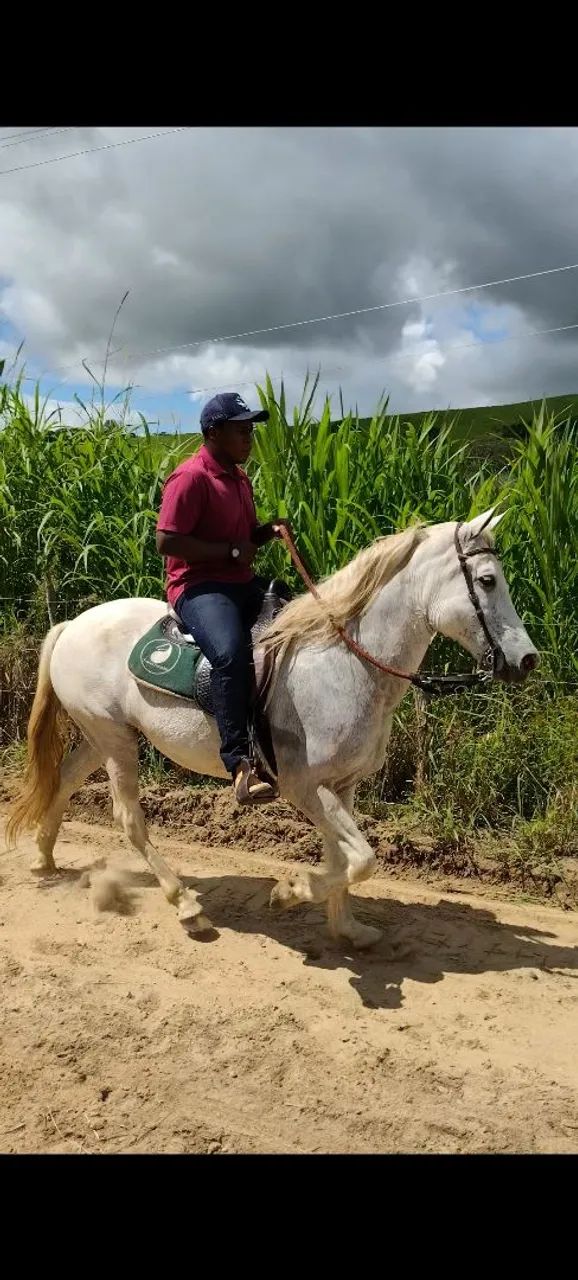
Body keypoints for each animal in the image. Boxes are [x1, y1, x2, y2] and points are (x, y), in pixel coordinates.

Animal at [6, 509, 538, 949]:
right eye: (487, 580)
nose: (527, 660)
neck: (344, 661)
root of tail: (72, 624)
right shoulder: (304, 786)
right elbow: (362, 861)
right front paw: (291, 891)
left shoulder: (341, 786)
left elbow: (346, 860)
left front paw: (347, 929)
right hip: (116, 741)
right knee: (129, 820)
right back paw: (186, 905)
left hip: (104, 735)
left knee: (66, 779)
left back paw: (44, 858)